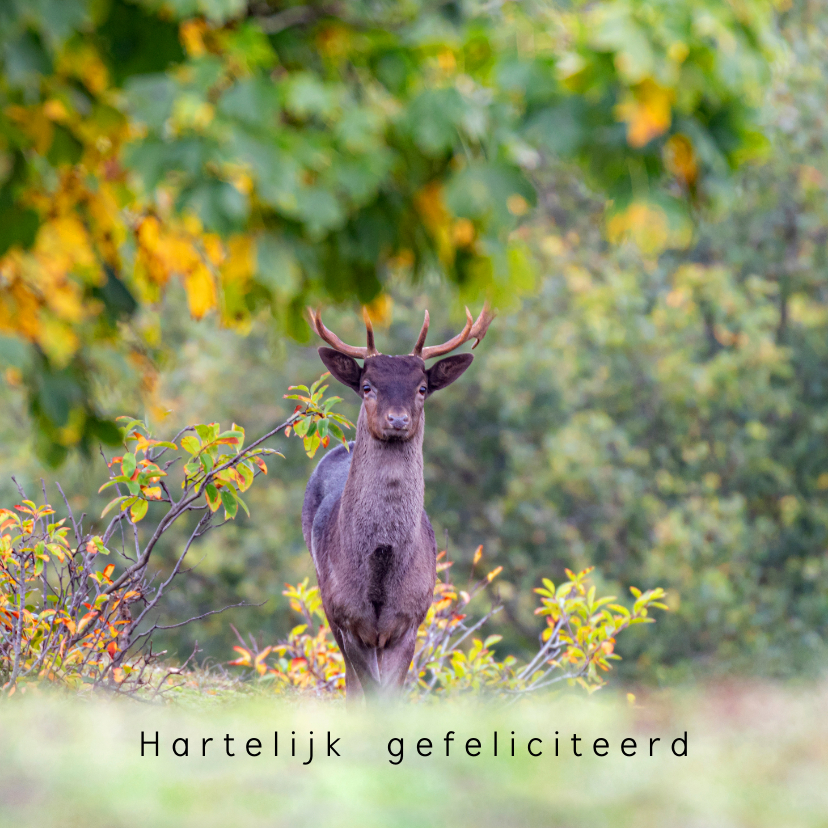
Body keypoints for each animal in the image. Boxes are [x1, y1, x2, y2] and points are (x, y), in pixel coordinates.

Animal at [300, 304, 492, 700]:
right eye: (367, 386)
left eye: (422, 388)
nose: (398, 419)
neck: (382, 563)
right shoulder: (347, 615)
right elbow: (369, 691)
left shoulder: (411, 618)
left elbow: (391, 697)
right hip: (325, 597)